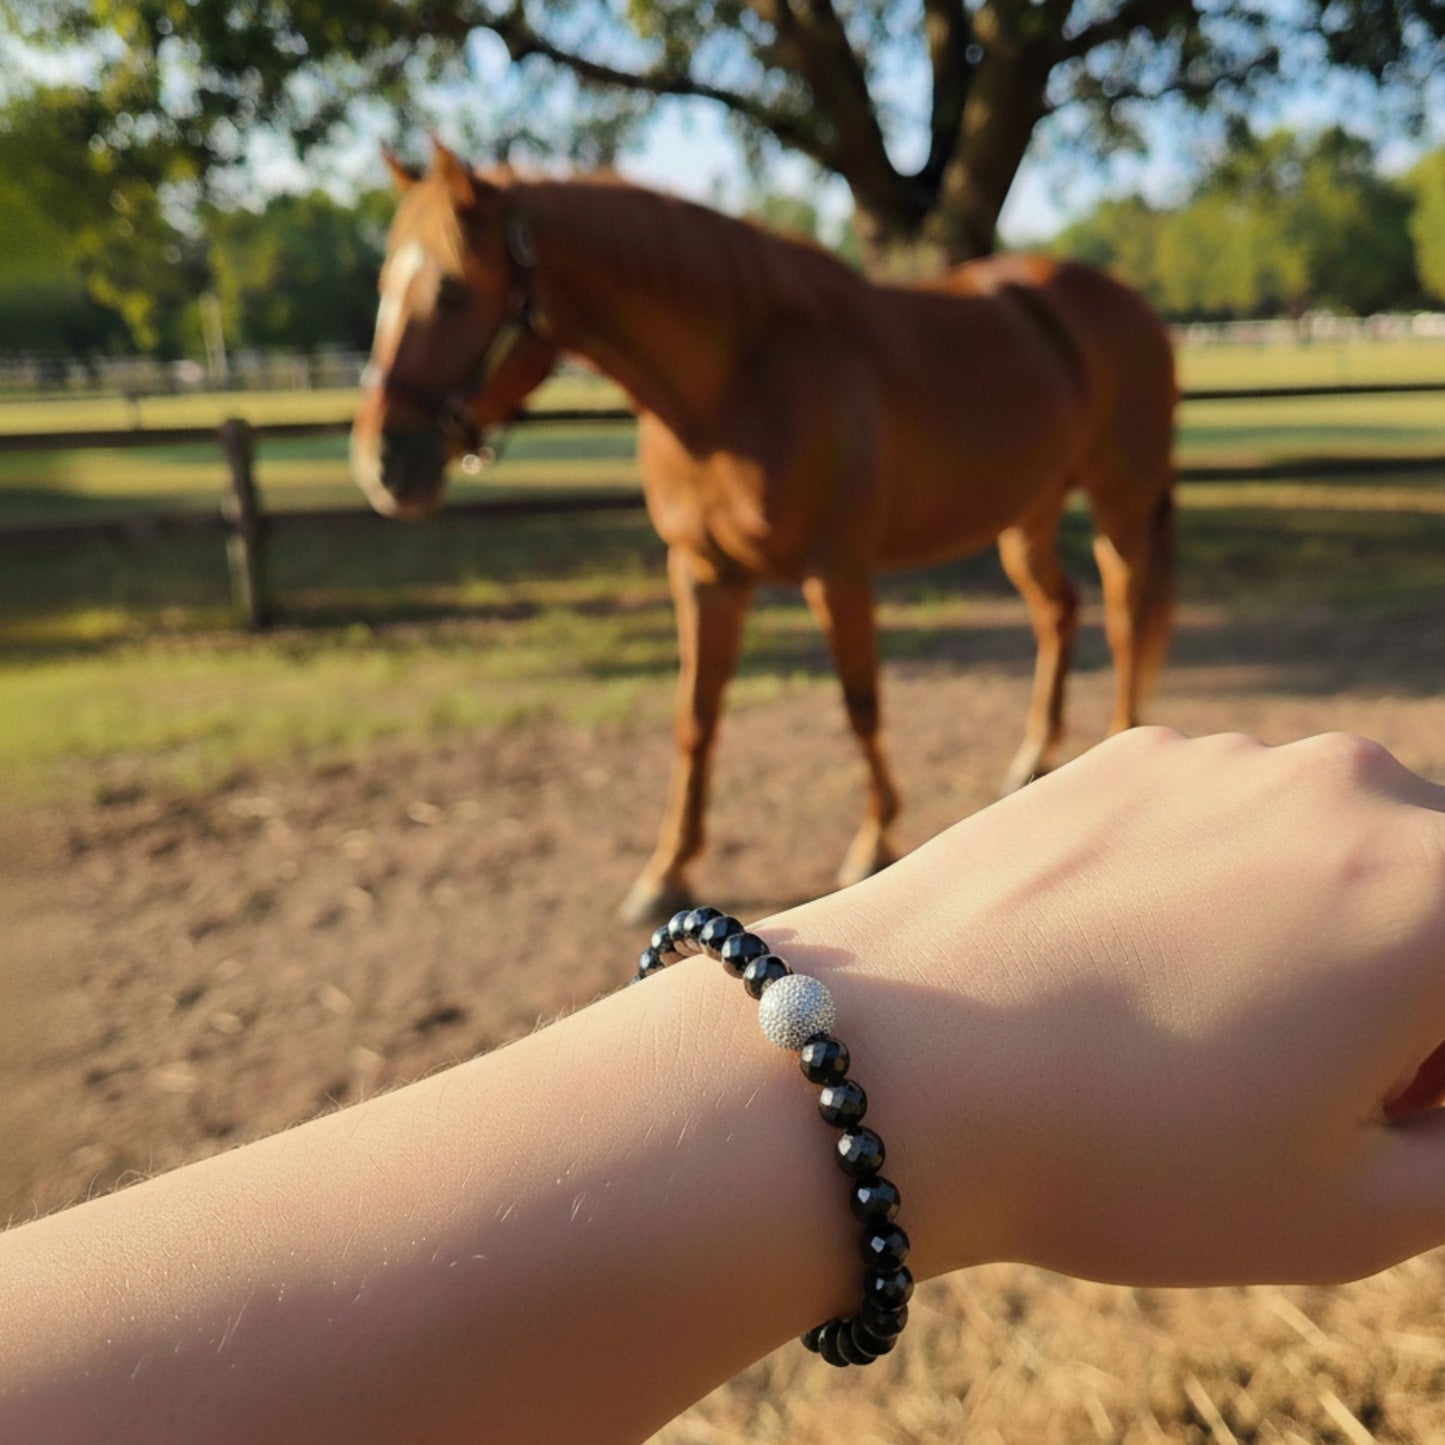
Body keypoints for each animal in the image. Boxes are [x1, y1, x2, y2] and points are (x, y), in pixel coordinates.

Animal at [352, 140, 1177, 925]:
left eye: (450, 288)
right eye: (383, 286)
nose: (380, 464)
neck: (735, 387)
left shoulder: (836, 574)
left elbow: (860, 704)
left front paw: (873, 838)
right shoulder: (702, 571)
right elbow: (695, 715)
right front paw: (666, 870)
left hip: (1118, 503)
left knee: (1124, 614)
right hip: (1025, 517)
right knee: (1058, 611)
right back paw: (1033, 759)